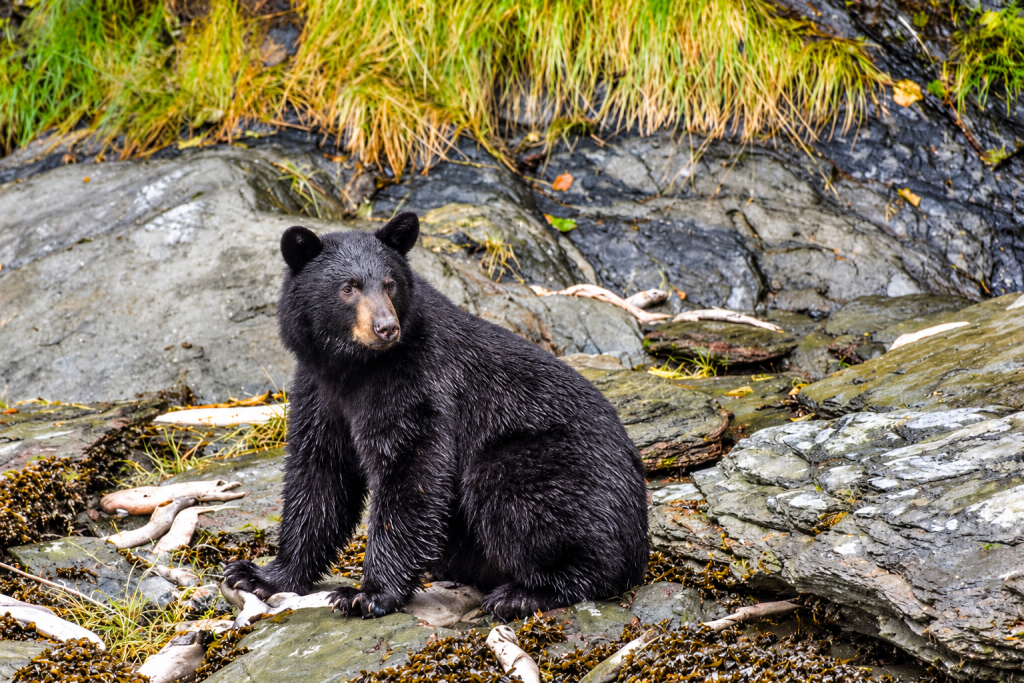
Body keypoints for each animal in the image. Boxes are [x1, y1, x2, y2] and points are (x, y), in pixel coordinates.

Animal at [223, 211, 649, 620]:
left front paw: (367, 594)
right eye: (348, 287)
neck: (355, 369)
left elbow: (411, 469)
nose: (386, 327)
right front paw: (258, 574)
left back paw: (523, 593)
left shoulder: (419, 382)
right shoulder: (319, 391)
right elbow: (319, 476)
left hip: (552, 465)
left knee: (524, 502)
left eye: (390, 284)